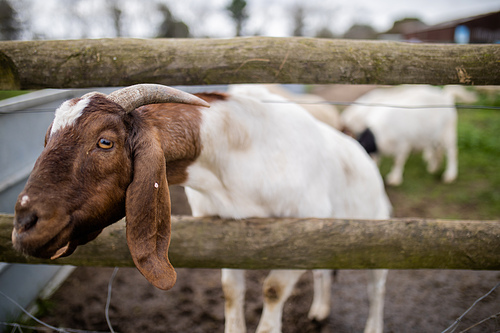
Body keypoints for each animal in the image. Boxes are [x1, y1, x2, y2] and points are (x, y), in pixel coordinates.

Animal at [12, 83, 390, 332]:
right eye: (46, 140)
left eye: (105, 142)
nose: (24, 224)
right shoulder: (222, 235)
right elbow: (230, 292)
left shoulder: (299, 235)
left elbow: (272, 290)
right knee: (325, 271)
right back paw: (320, 310)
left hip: (372, 230)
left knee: (376, 287)